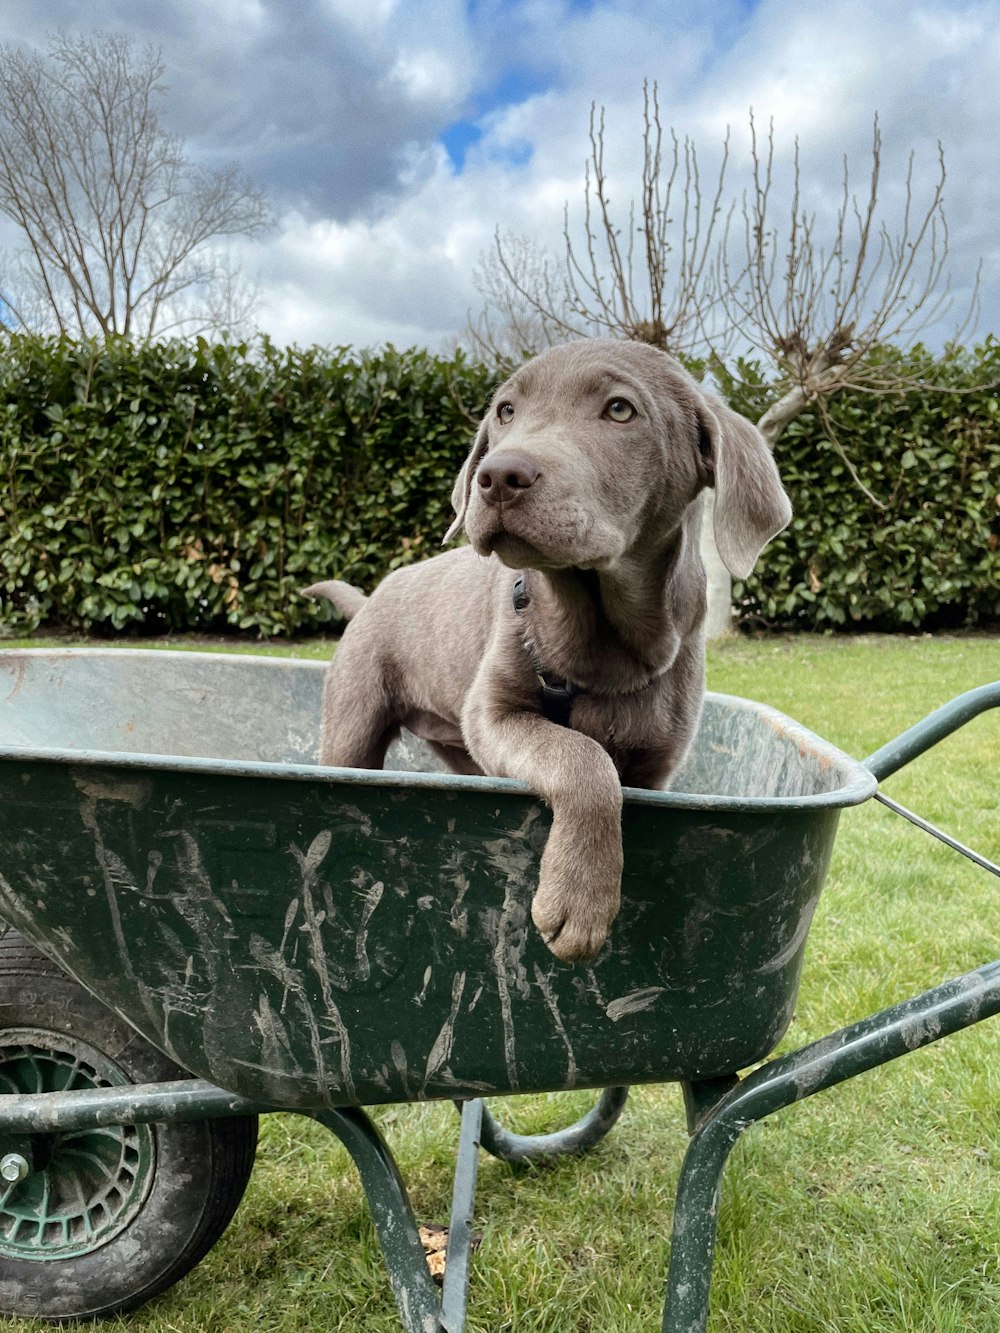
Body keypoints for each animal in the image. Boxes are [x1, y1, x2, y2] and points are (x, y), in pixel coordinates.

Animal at [309, 338, 794, 965]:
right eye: (505, 411)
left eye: (620, 410)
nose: (497, 476)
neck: (599, 640)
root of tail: (372, 597)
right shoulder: (494, 713)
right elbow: (581, 757)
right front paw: (580, 900)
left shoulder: (655, 766)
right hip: (355, 723)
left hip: (458, 747)